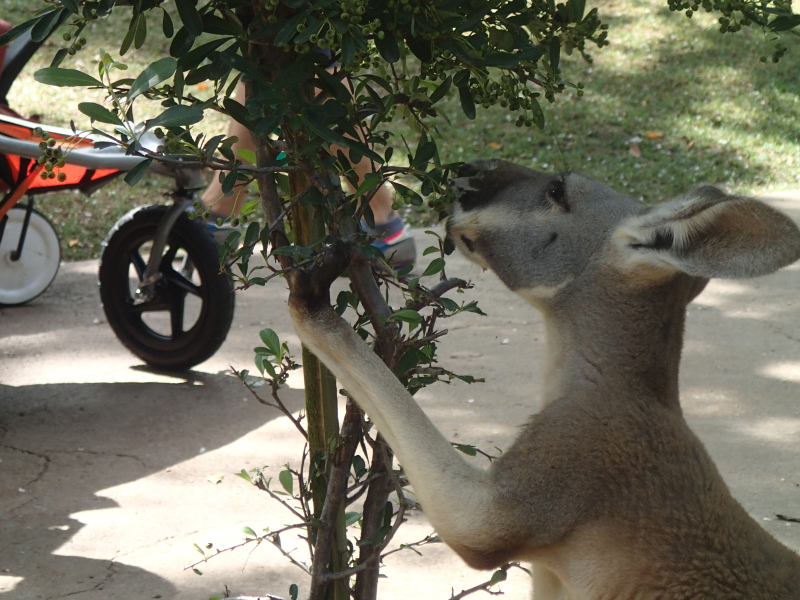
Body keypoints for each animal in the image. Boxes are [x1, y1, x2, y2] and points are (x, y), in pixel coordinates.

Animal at [286, 159, 800, 600]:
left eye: (557, 191)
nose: (468, 169)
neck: (609, 386)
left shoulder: (574, 458)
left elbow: (474, 525)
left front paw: (312, 292)